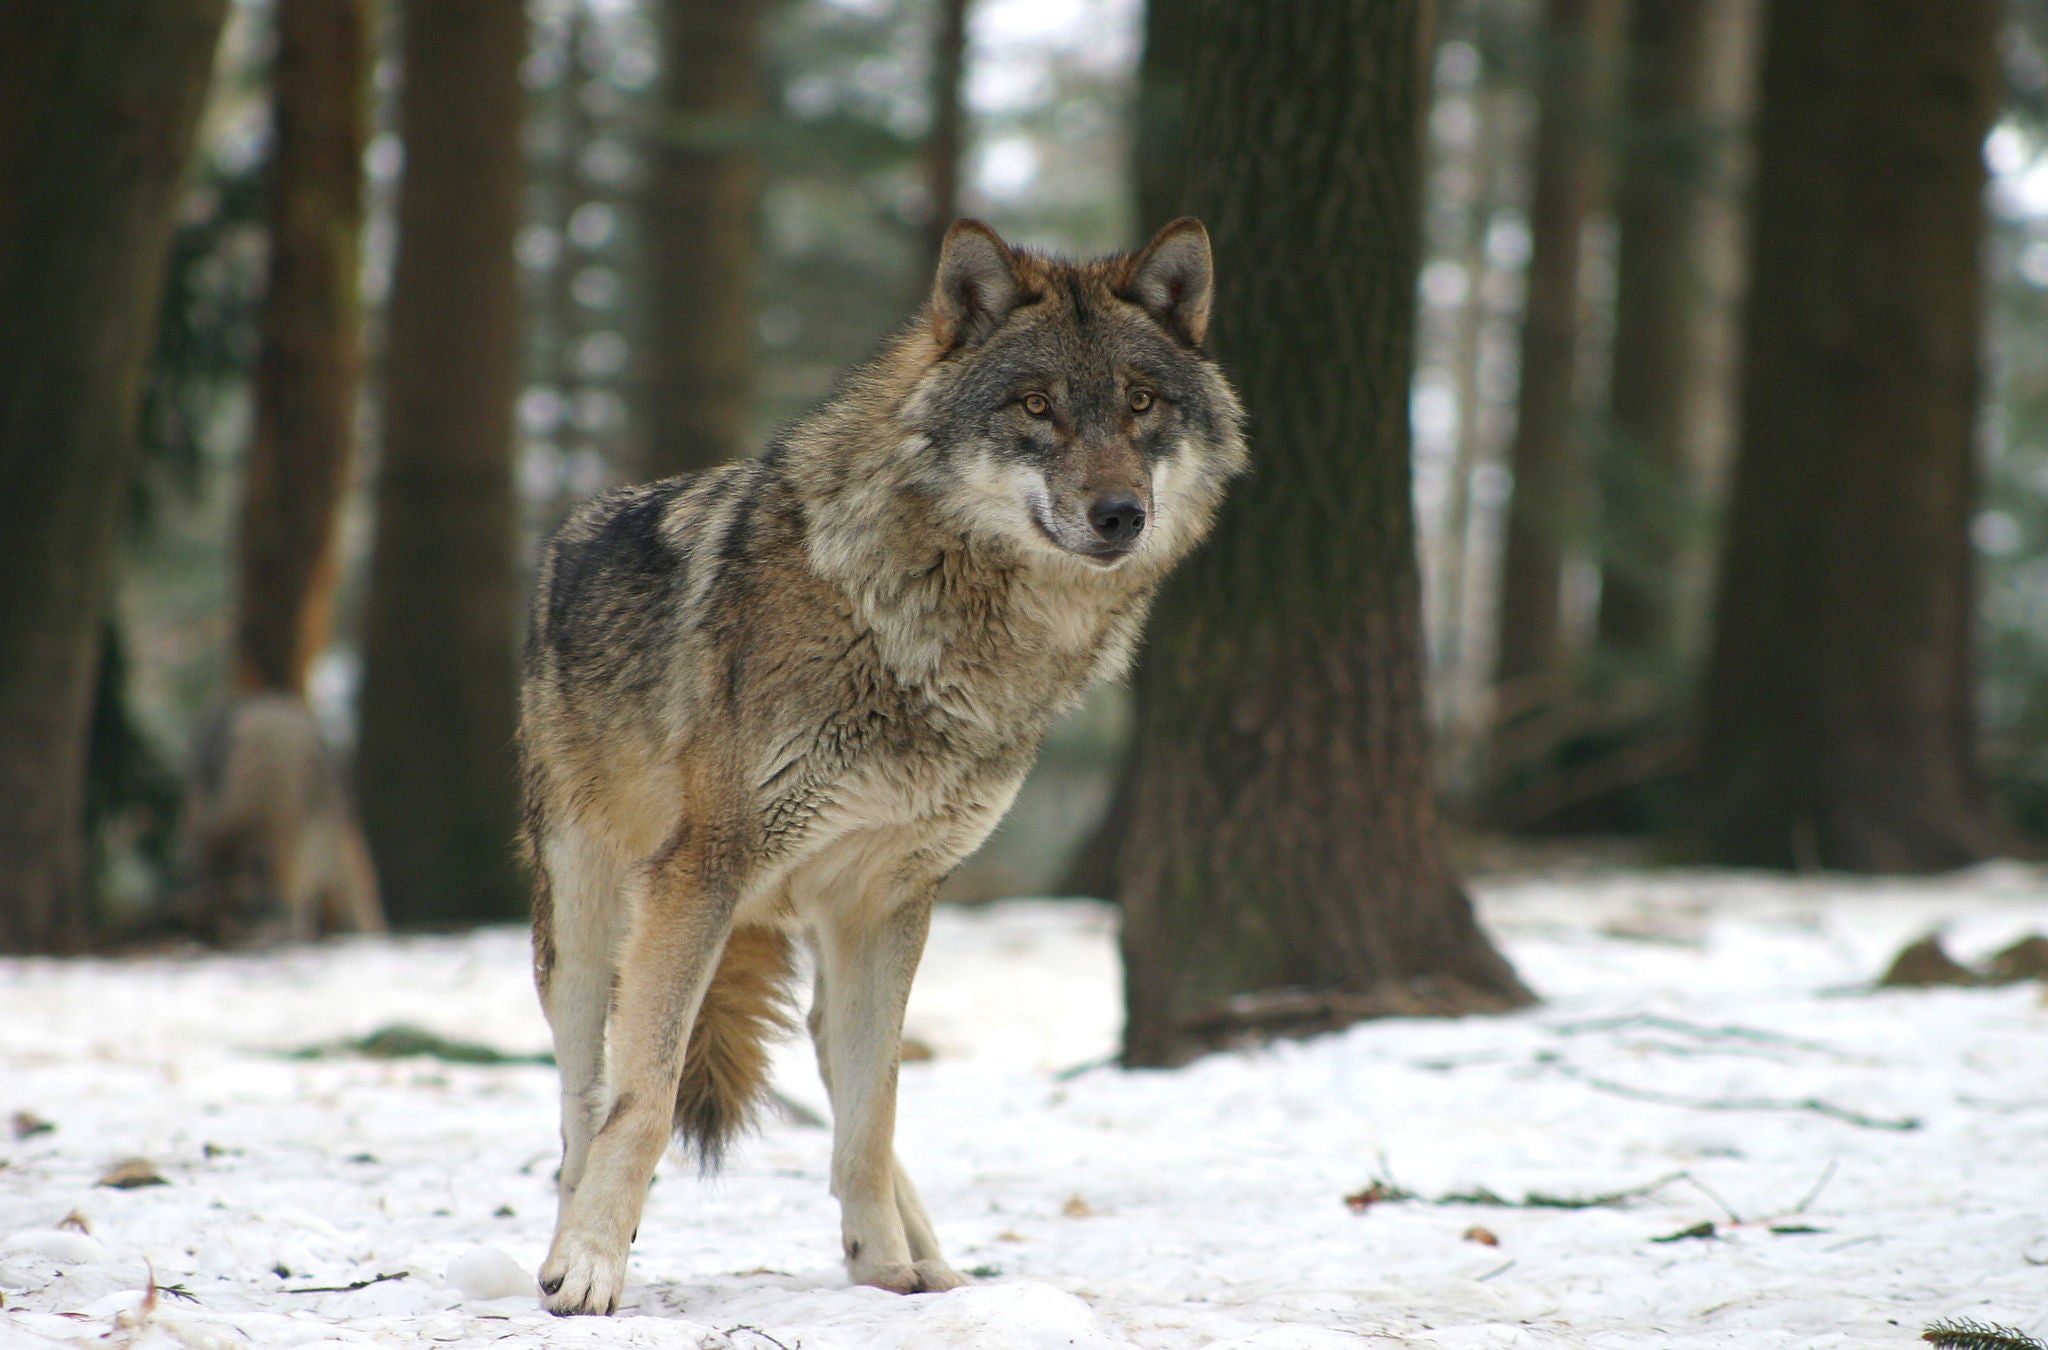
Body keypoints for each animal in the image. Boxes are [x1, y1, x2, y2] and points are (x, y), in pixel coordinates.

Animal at [520, 216, 1236, 1311]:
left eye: (1141, 403)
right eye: (1036, 407)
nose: (1122, 514)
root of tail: (566, 532)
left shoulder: (893, 897)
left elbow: (874, 1113)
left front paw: (885, 1268)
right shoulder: (697, 878)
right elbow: (642, 1102)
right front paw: (592, 1265)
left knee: (839, 1058)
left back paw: (929, 1253)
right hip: (587, 925)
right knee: (578, 1106)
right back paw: (569, 1238)